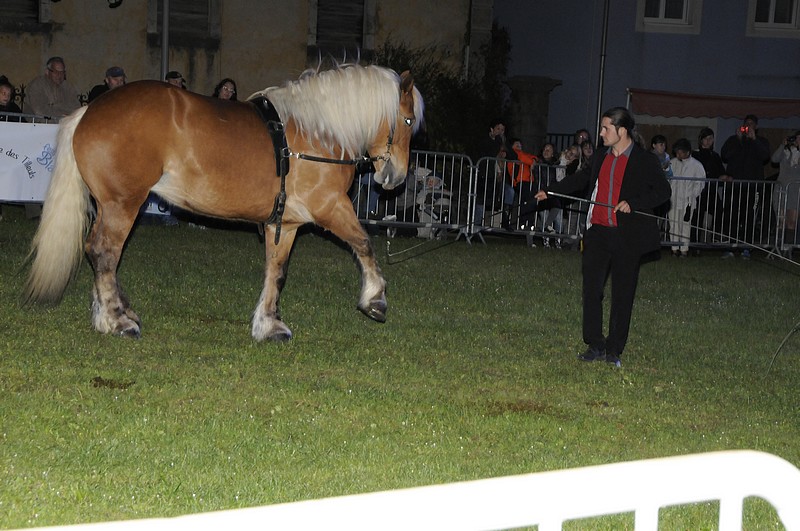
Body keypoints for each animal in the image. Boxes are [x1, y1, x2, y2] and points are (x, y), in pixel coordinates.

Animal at [23, 64, 423, 341]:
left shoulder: (286, 223)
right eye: (407, 121)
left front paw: (269, 324)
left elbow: (276, 272)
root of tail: (88, 112)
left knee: (98, 250)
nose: (395, 177)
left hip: (111, 204)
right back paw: (117, 320)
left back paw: (116, 313)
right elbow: (364, 243)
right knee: (104, 252)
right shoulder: (330, 206)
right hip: (124, 203)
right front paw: (375, 300)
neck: (316, 135)